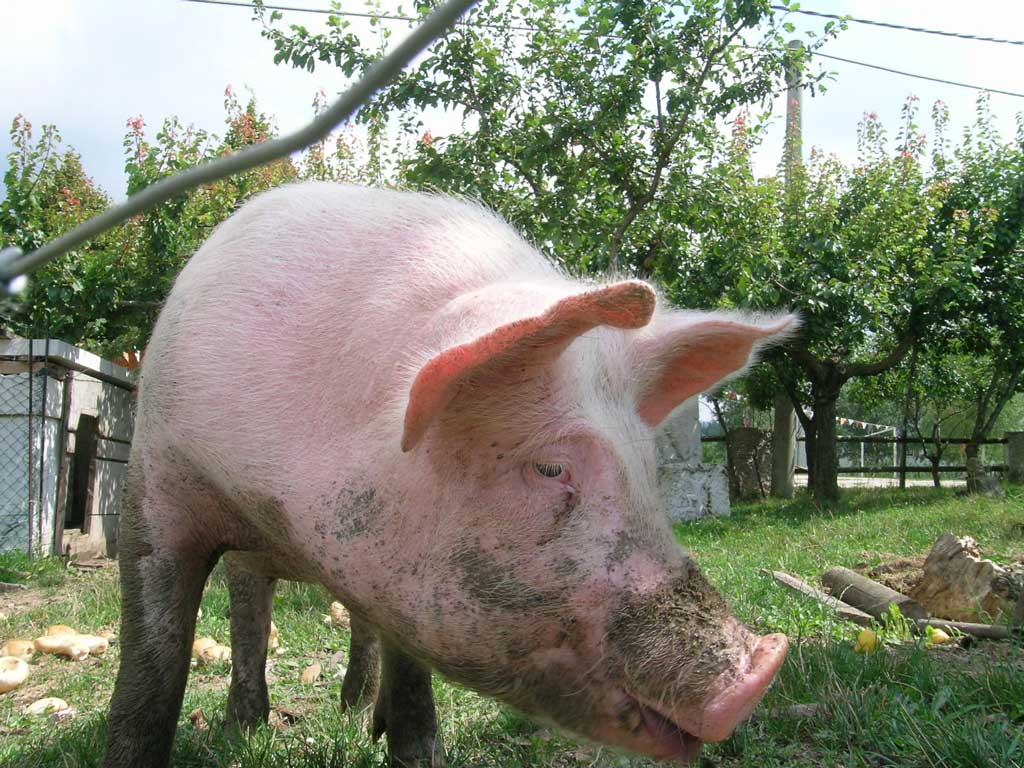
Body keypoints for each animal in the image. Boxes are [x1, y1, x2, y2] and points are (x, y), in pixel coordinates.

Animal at [103, 183, 793, 768]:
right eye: (550, 466)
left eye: (645, 465)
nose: (761, 669)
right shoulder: (159, 474)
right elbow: (152, 661)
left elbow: (408, 665)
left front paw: (417, 753)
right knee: (250, 603)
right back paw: (244, 728)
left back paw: (356, 713)